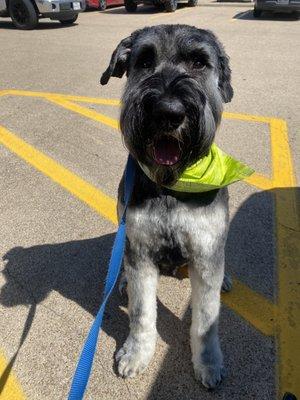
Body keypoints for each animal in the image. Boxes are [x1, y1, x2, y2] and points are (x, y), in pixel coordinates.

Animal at [101, 23, 234, 390]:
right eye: (145, 61)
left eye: (200, 62)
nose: (168, 112)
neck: (173, 185)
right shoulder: (140, 249)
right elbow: (142, 313)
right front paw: (136, 354)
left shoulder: (206, 250)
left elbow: (206, 319)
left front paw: (208, 362)